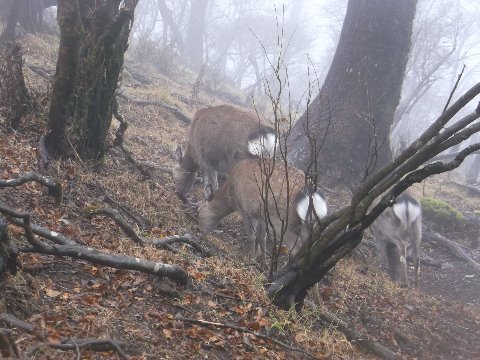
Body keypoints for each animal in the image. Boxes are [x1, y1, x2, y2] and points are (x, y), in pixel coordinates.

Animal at [197, 159, 328, 266]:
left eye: (199, 212)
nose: (199, 232)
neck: (231, 197)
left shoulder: (246, 210)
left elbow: (252, 236)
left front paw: (251, 259)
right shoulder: (261, 216)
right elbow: (261, 237)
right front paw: (262, 261)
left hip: (283, 222)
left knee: (296, 248)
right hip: (308, 224)